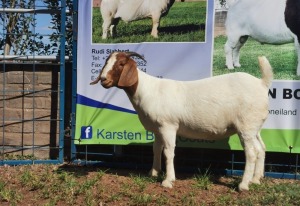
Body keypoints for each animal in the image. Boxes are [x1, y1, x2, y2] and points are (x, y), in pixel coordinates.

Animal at [90, 51, 274, 192]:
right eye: (106, 62)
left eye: (121, 64)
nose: (104, 79)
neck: (148, 90)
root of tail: (262, 83)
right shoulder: (157, 129)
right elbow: (156, 149)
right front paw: (154, 172)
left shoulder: (168, 126)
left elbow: (169, 152)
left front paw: (168, 180)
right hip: (254, 127)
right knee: (261, 148)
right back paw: (256, 179)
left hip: (246, 126)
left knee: (251, 153)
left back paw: (243, 185)